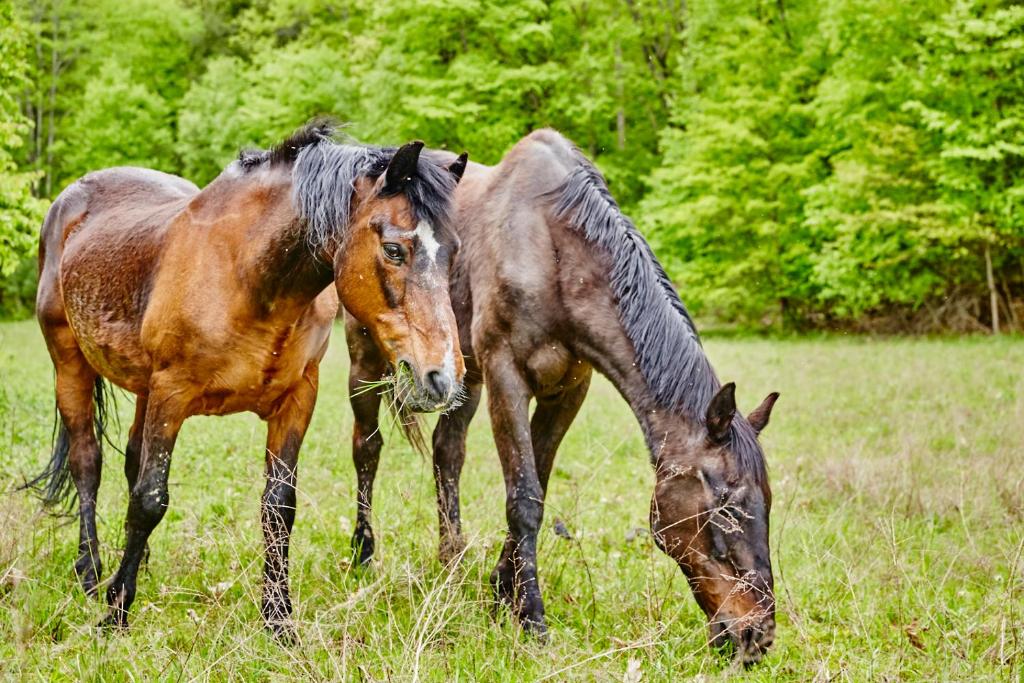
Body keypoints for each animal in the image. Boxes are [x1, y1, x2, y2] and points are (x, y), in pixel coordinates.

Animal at [27, 120, 468, 638]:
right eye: (395, 249)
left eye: (454, 253)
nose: (442, 377)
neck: (248, 275)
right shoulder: (171, 393)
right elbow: (150, 500)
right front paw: (115, 612)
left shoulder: (297, 398)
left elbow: (278, 506)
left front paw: (278, 618)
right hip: (70, 364)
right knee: (87, 463)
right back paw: (91, 570)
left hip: (141, 388)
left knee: (131, 461)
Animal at [348, 129, 778, 667]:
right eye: (724, 507)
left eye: (767, 502)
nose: (758, 636)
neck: (552, 249)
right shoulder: (508, 376)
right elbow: (524, 498)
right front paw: (531, 620)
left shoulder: (567, 390)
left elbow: (537, 484)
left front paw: (501, 593)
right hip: (367, 359)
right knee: (367, 448)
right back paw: (362, 555)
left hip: (463, 378)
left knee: (448, 454)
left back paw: (451, 563)